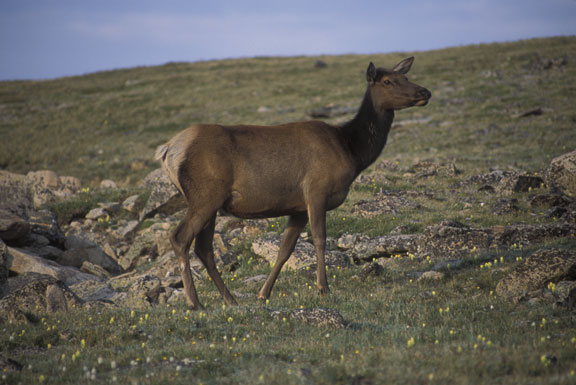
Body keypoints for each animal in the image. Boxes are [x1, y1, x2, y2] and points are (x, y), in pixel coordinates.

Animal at [155, 56, 430, 308]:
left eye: (405, 76)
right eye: (387, 81)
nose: (424, 92)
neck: (351, 150)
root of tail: (168, 150)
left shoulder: (297, 208)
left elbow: (285, 250)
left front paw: (263, 294)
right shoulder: (316, 190)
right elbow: (319, 238)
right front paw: (323, 288)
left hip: (211, 202)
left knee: (204, 248)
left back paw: (230, 300)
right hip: (204, 195)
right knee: (180, 238)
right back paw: (195, 302)